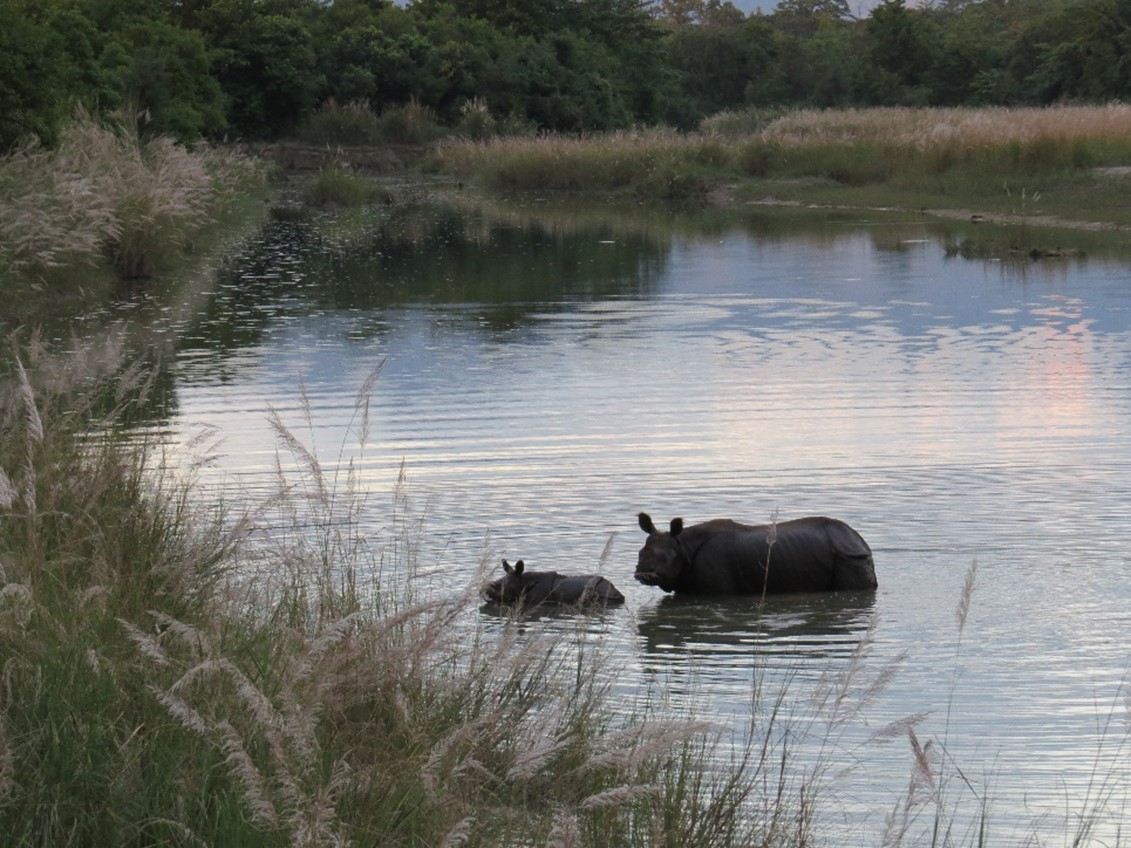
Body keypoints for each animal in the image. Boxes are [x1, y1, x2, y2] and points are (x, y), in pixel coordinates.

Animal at [637, 511, 873, 596]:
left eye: (667, 560)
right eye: (639, 554)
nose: (642, 574)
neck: (682, 547)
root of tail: (860, 540)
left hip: (850, 557)